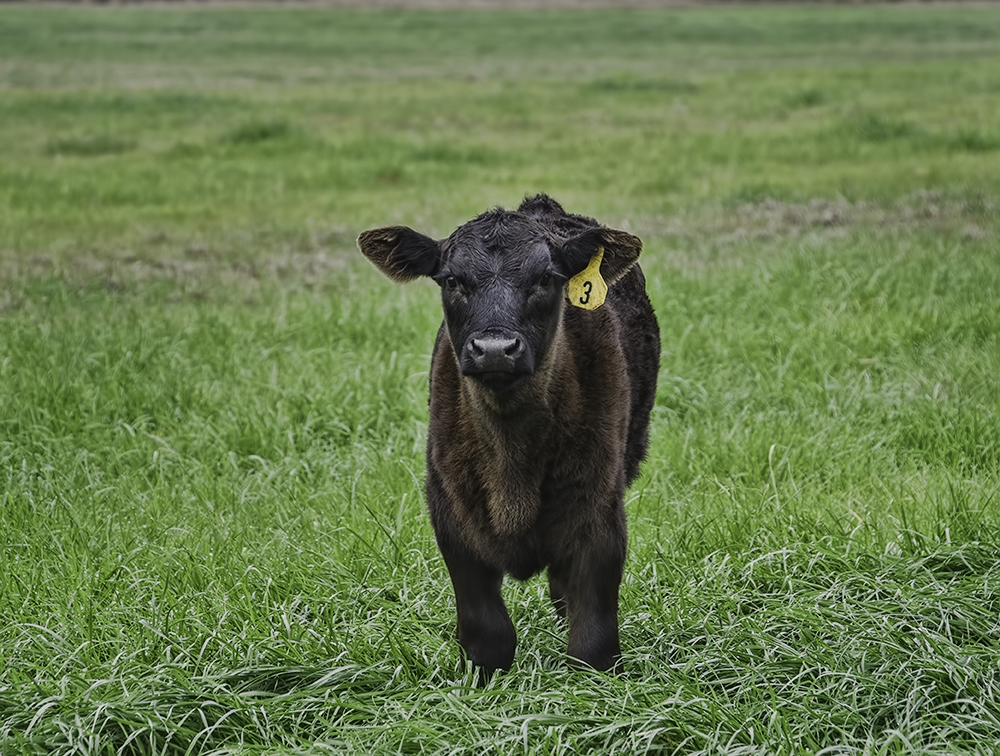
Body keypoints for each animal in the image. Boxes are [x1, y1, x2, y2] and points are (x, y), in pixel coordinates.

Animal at [357, 194, 659, 673]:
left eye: (546, 278)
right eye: (452, 279)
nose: (495, 350)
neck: (510, 463)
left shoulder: (600, 506)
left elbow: (592, 643)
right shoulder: (448, 508)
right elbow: (487, 634)